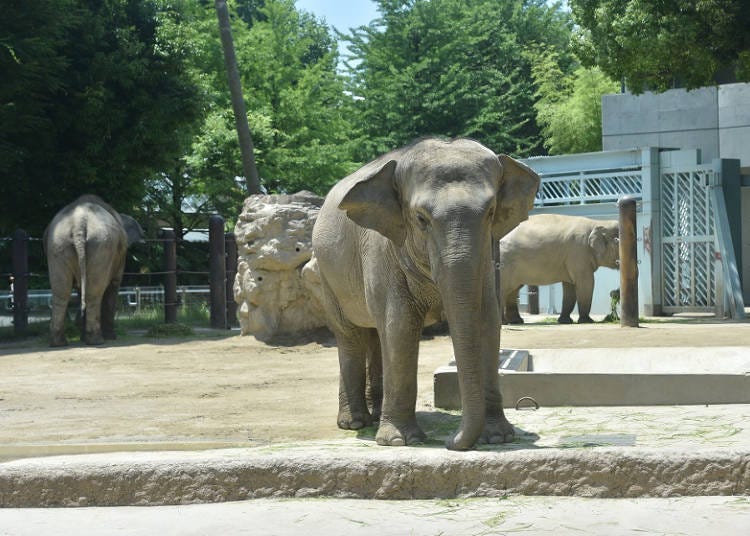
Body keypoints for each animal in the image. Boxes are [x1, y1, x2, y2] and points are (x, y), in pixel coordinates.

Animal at [43, 195, 144, 346]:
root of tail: (79, 223)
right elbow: (113, 286)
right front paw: (111, 337)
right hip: (101, 246)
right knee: (94, 292)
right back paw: (96, 340)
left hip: (58, 244)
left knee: (61, 292)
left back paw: (58, 343)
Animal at [310, 137, 540, 448]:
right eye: (420, 218)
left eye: (491, 212)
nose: (450, 442)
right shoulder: (382, 250)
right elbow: (400, 326)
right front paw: (399, 441)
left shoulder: (489, 257)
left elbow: (486, 319)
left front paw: (497, 437)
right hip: (326, 275)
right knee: (351, 335)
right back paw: (355, 422)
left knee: (375, 335)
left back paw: (375, 414)